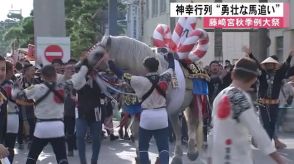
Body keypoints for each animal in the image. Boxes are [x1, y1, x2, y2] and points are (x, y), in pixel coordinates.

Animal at [85, 35, 204, 163]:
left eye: (98, 54)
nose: (78, 66)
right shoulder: (139, 109)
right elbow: (136, 130)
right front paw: (139, 156)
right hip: (175, 109)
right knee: (178, 129)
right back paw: (177, 156)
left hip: (193, 101)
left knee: (192, 123)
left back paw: (191, 152)